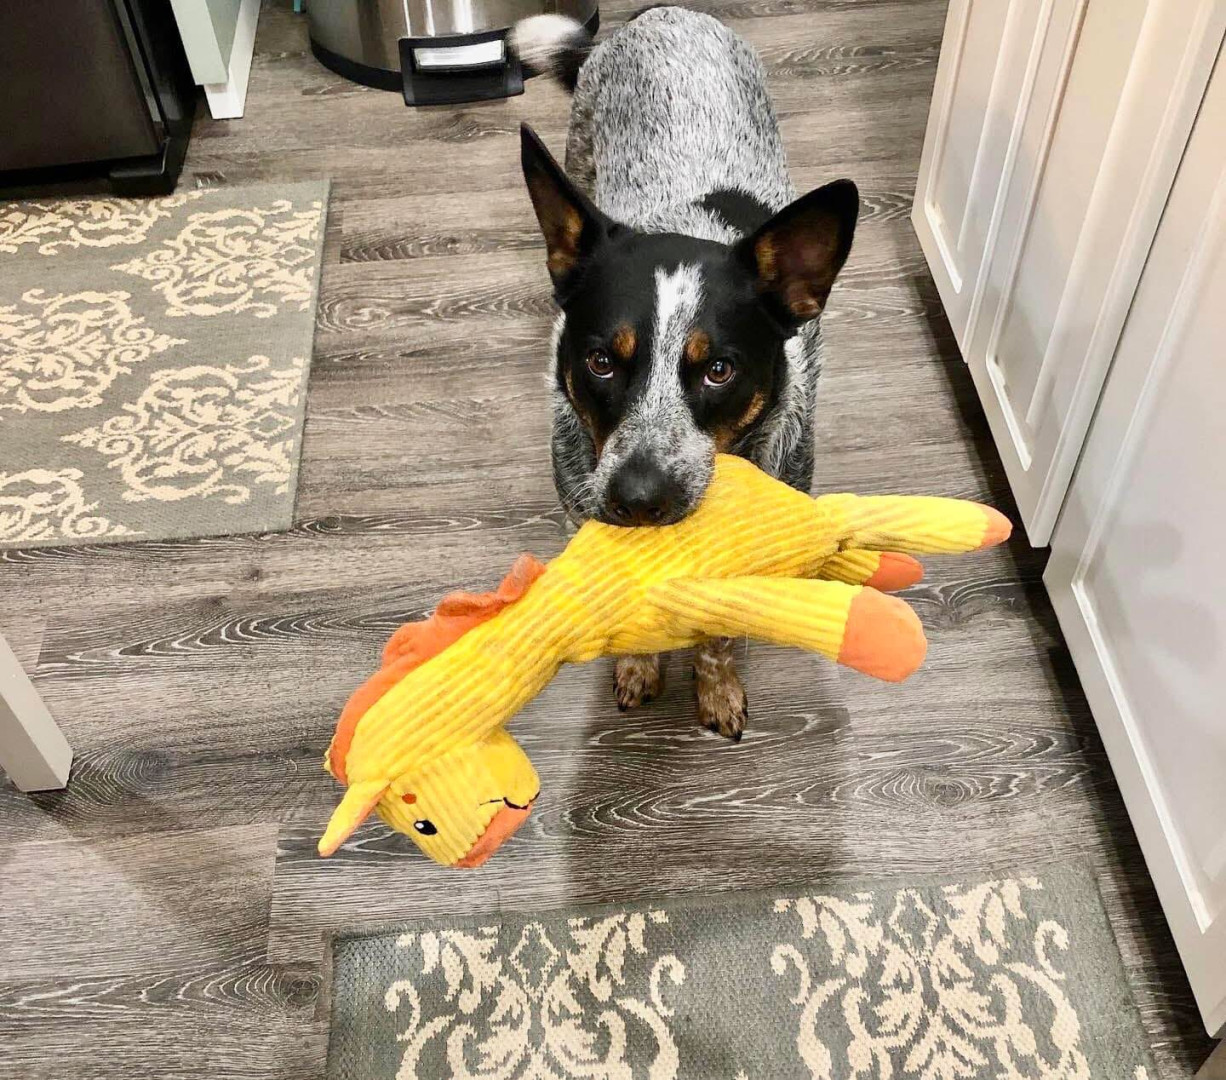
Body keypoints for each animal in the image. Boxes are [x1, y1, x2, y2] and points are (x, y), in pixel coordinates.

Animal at [512, 6, 859, 739]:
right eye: (600, 361)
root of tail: (660, 13)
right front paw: (640, 668)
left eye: (719, 369)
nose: (639, 500)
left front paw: (718, 688)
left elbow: (719, 636)